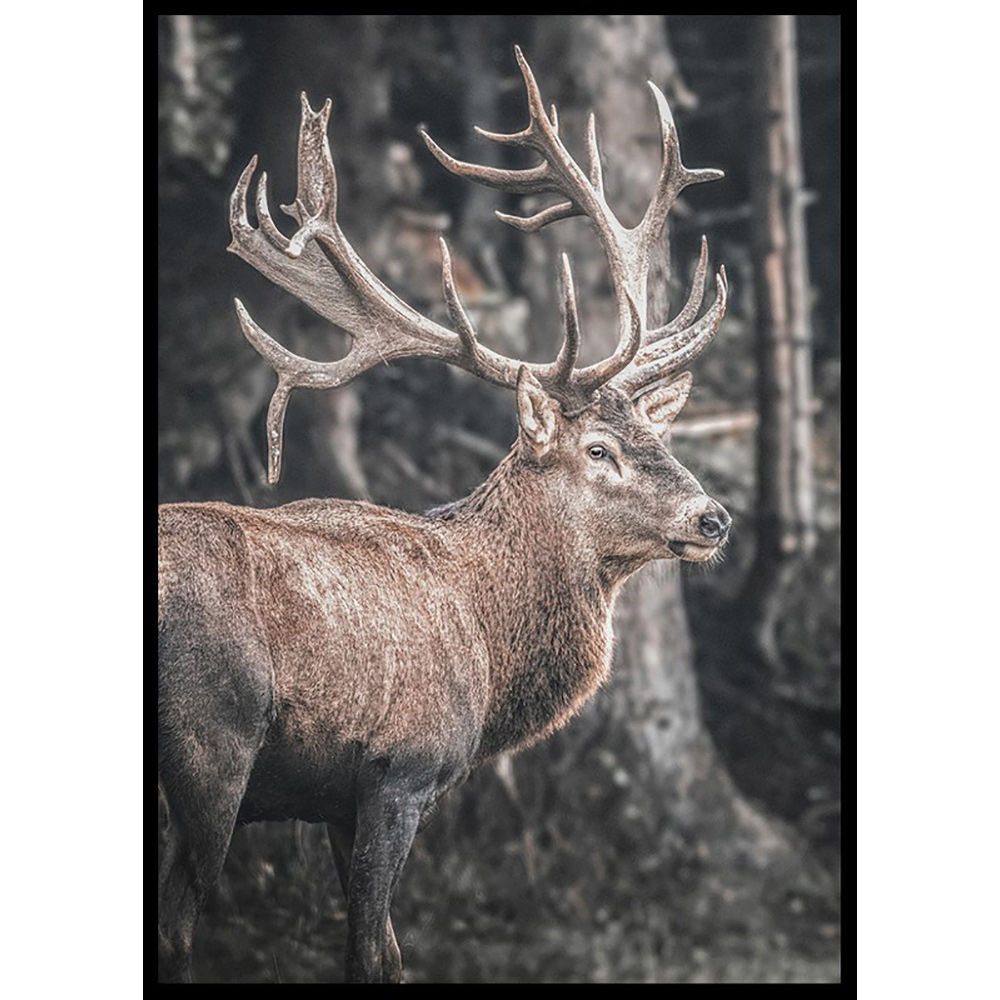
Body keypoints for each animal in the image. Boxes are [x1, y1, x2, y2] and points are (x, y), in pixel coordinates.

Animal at [157, 46, 731, 984]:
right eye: (598, 450)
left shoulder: (334, 801)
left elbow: (389, 951)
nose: (714, 518)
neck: (490, 654)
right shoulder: (400, 767)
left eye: (656, 432)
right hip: (212, 743)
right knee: (176, 923)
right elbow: (370, 951)